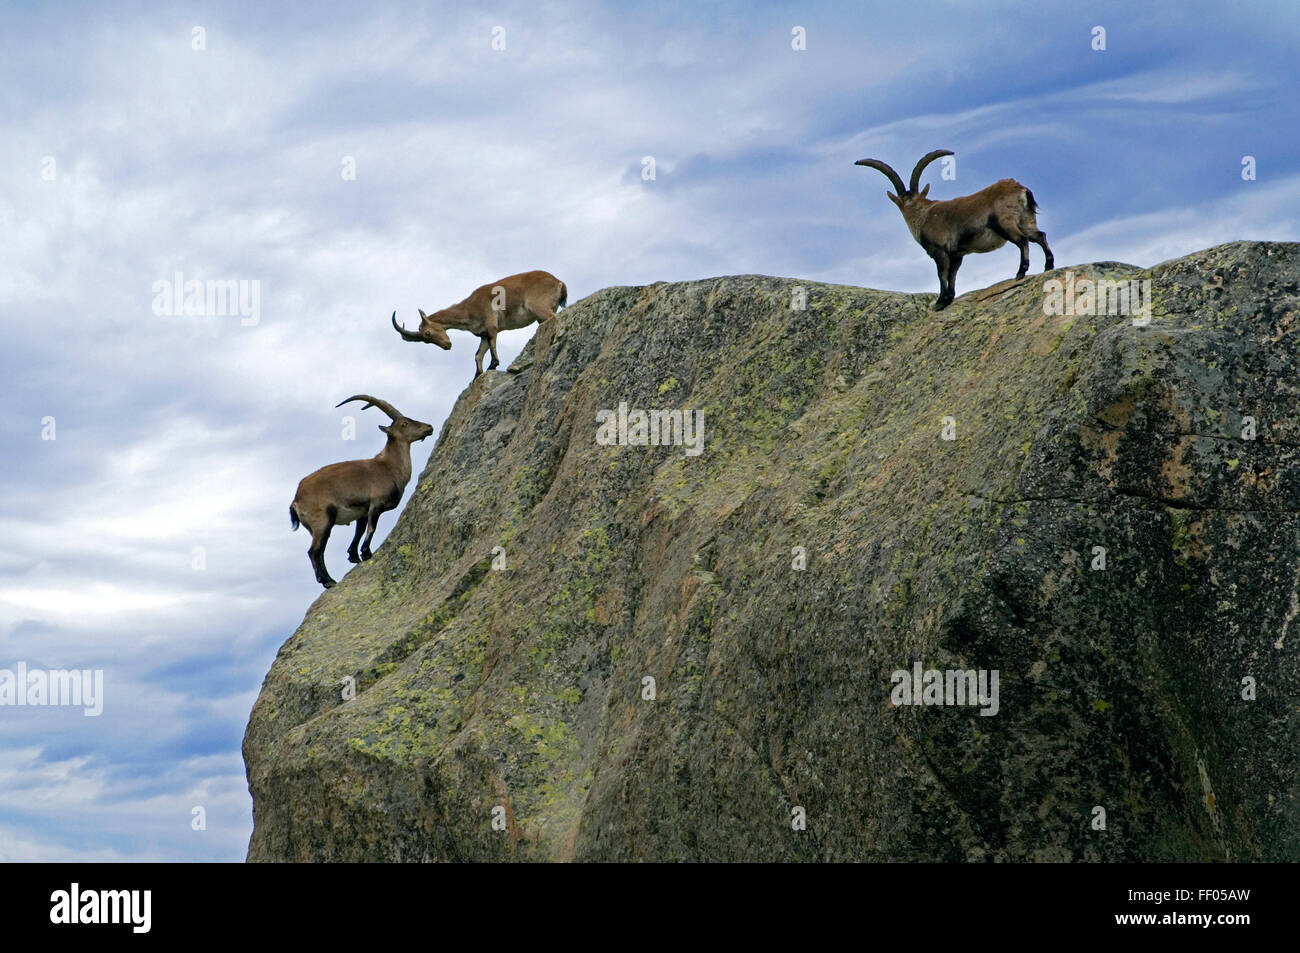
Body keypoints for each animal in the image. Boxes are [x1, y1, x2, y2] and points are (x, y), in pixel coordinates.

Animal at [290, 395, 433, 589]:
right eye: (404, 423)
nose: (429, 427)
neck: (388, 467)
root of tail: (296, 500)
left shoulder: (362, 511)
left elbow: (359, 531)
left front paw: (354, 556)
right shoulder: (376, 504)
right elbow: (371, 529)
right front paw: (366, 554)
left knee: (319, 550)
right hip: (323, 521)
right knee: (315, 551)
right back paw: (328, 581)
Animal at [391, 270, 568, 378]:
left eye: (427, 333)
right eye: (426, 340)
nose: (447, 345)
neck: (470, 307)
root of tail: (558, 282)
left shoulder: (491, 324)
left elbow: (492, 343)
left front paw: (493, 365)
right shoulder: (482, 333)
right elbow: (478, 354)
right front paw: (477, 376)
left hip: (540, 308)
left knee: (555, 318)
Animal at [855, 150, 1053, 310]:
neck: (923, 215)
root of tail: (1022, 190)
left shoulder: (940, 250)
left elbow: (942, 273)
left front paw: (939, 302)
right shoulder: (957, 254)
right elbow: (953, 274)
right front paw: (949, 299)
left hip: (1005, 223)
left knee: (1022, 241)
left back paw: (1020, 272)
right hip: (1026, 220)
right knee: (1040, 236)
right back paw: (1048, 266)